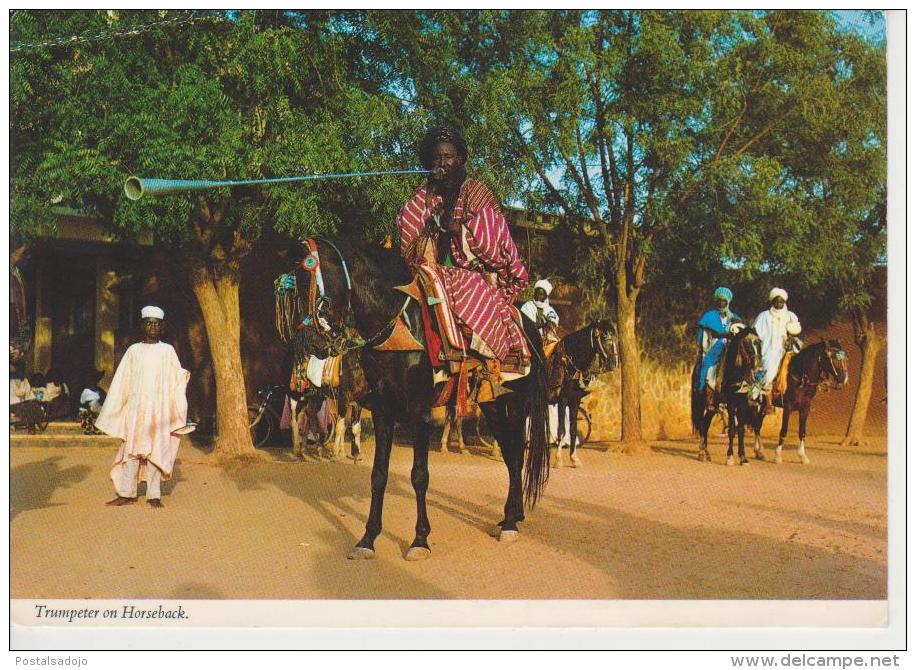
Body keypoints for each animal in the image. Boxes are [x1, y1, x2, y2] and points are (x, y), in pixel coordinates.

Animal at [286, 239, 548, 560]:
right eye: (297, 288)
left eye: (319, 284)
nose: (309, 344)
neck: (398, 328)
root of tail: (531, 330)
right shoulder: (384, 411)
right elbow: (378, 475)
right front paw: (367, 538)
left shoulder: (420, 411)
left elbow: (419, 475)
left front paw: (420, 539)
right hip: (492, 404)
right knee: (511, 455)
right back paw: (511, 516)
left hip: (517, 403)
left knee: (516, 454)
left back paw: (511, 523)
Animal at [548, 322, 620, 470]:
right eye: (605, 337)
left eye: (616, 337)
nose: (615, 362)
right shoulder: (562, 400)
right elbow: (561, 430)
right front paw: (558, 460)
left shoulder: (574, 401)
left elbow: (573, 429)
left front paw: (574, 458)